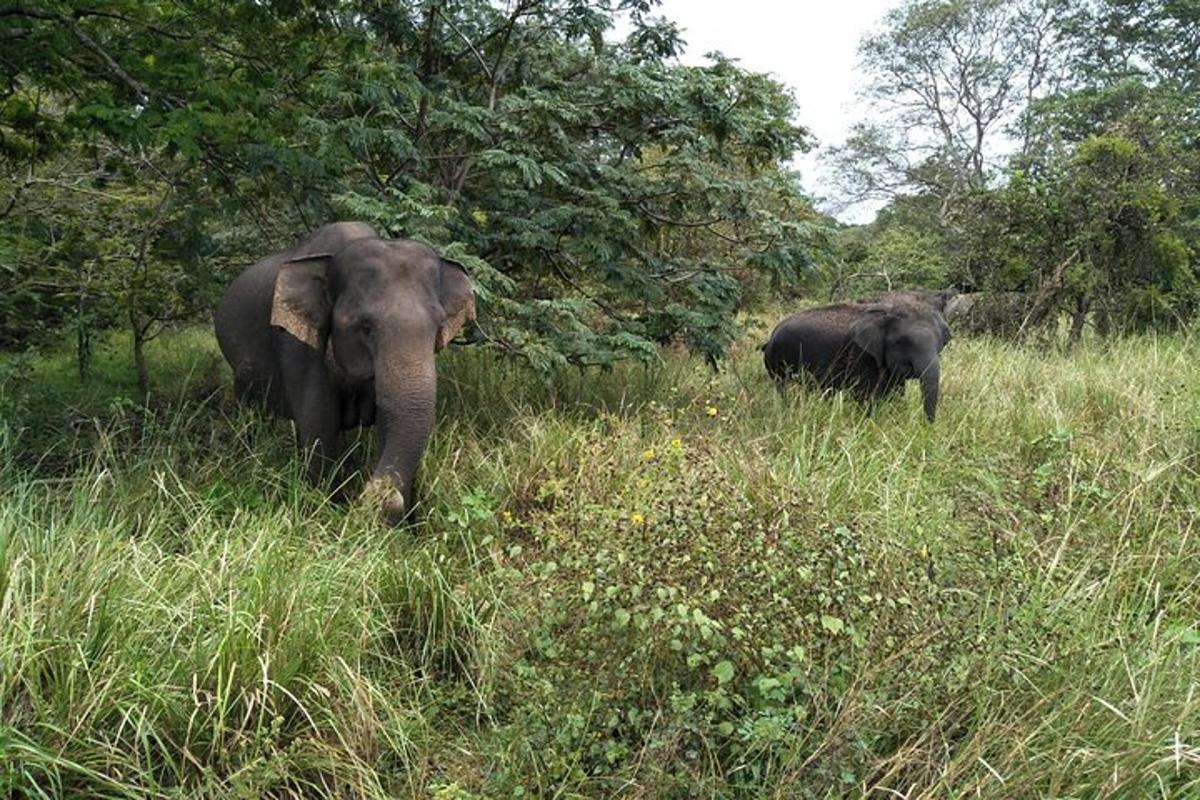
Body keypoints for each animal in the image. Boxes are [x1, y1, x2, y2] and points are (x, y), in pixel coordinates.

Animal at [213, 221, 475, 522]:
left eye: (439, 325)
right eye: (365, 327)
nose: (376, 494)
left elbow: (388, 424)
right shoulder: (295, 341)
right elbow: (319, 421)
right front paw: (322, 511)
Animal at [763, 298, 950, 422]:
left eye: (941, 344)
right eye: (901, 342)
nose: (926, 428)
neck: (886, 311)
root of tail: (771, 336)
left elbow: (895, 392)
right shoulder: (861, 354)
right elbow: (865, 396)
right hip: (777, 361)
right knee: (783, 387)